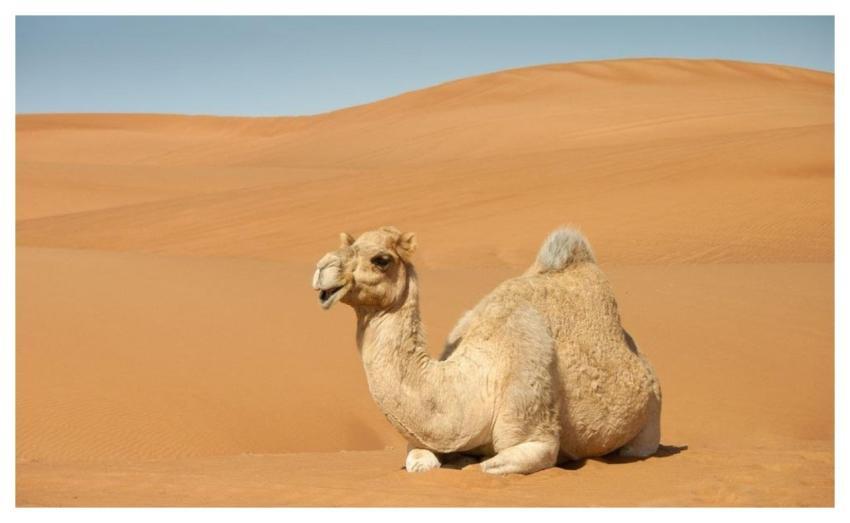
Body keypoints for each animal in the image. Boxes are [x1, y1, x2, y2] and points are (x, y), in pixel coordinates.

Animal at [312, 226, 661, 475]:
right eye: (350, 243)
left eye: (382, 259)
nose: (321, 268)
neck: (473, 384)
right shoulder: (425, 438)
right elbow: (419, 461)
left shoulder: (534, 438)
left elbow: (490, 466)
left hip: (652, 416)